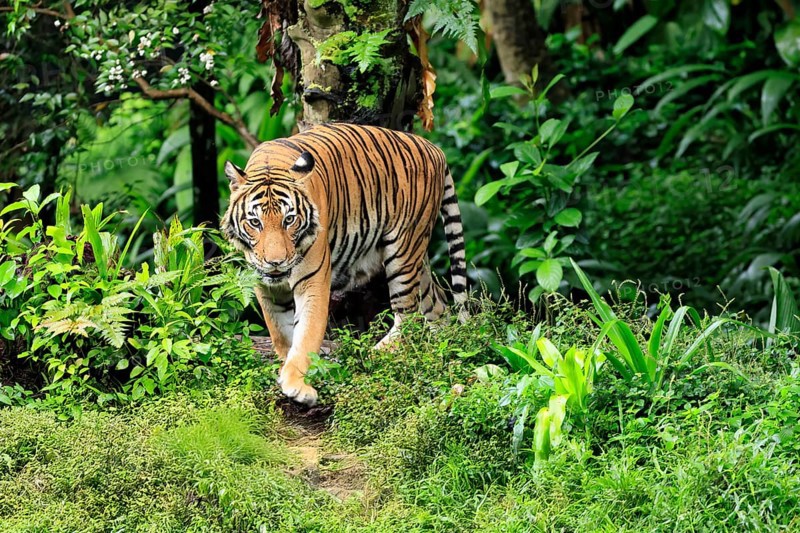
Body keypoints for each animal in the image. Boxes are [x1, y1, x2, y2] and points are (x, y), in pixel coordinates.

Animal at [221, 122, 467, 406]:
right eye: (255, 222)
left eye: (289, 220)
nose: (276, 262)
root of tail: (434, 148)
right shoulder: (265, 287)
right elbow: (282, 334)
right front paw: (286, 369)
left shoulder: (313, 281)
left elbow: (306, 335)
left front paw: (297, 386)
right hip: (419, 259)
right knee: (436, 305)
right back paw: (441, 349)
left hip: (403, 250)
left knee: (407, 316)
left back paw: (371, 356)